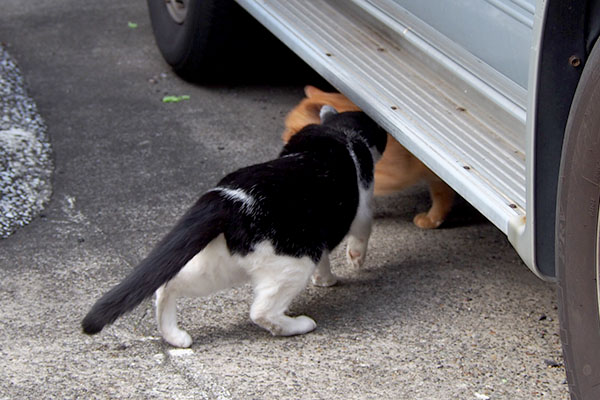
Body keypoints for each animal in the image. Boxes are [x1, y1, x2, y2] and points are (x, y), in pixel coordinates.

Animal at [82, 106, 386, 346]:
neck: (336, 131)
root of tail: (227, 200)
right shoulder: (362, 202)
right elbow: (361, 233)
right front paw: (353, 263)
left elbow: (326, 258)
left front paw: (325, 280)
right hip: (295, 260)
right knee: (261, 311)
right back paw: (298, 325)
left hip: (217, 266)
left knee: (167, 286)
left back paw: (174, 336)